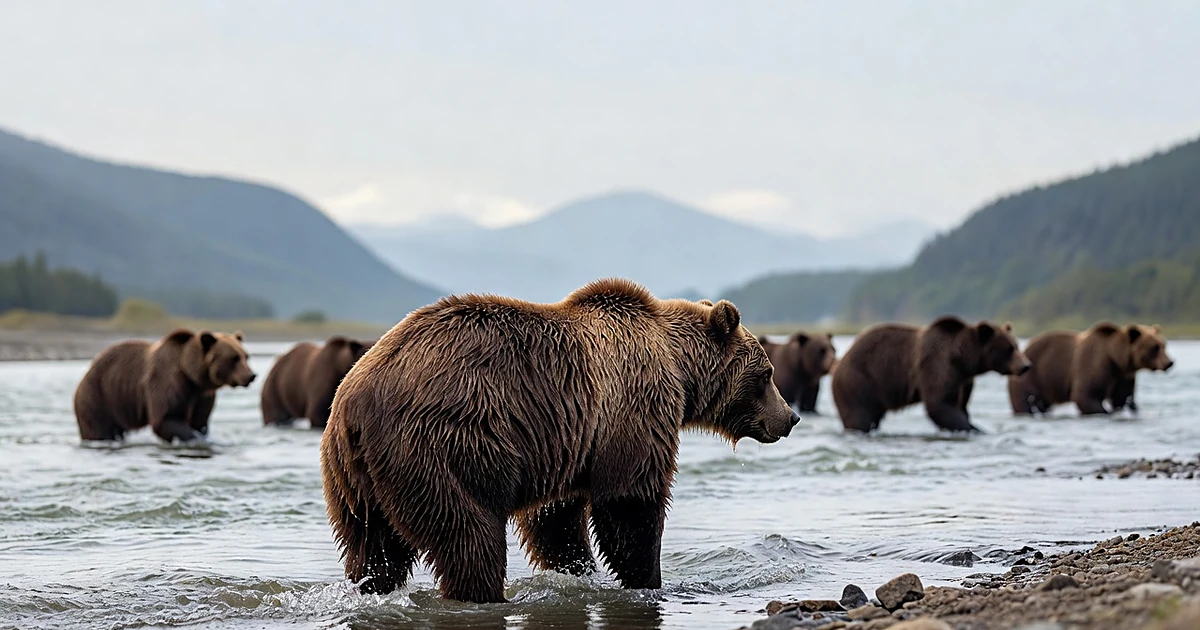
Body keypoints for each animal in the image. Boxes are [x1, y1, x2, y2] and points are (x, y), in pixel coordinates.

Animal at [74, 329, 256, 442]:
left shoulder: (202, 397)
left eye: (246, 356)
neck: (192, 377)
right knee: (98, 429)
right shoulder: (168, 383)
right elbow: (167, 417)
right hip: (99, 397)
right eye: (234, 358)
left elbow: (199, 422)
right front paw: (192, 437)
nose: (251, 376)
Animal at [319, 278, 799, 603]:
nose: (790, 417)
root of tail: (352, 403)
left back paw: (370, 587)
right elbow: (630, 501)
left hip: (353, 481)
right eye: (768, 372)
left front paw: (578, 570)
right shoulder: (634, 409)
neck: (681, 373)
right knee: (469, 534)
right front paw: (645, 578)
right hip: (443, 446)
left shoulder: (568, 441)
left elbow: (555, 517)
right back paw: (485, 593)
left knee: (372, 548)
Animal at [831, 316, 1031, 433]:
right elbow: (940, 405)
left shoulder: (964, 380)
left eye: (1016, 345)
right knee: (859, 416)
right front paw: (977, 429)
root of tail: (839, 362)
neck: (962, 360)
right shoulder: (938, 366)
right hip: (859, 382)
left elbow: (960, 405)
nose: (1026, 365)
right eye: (1009, 348)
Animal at [1008, 322, 1174, 416]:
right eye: (1155, 347)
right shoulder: (1093, 364)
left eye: (1163, 344)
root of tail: (1023, 349)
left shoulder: (1123, 377)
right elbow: (1086, 396)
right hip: (1030, 377)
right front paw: (1104, 411)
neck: (1115, 359)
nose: (1169, 362)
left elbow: (1121, 398)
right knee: (1023, 402)